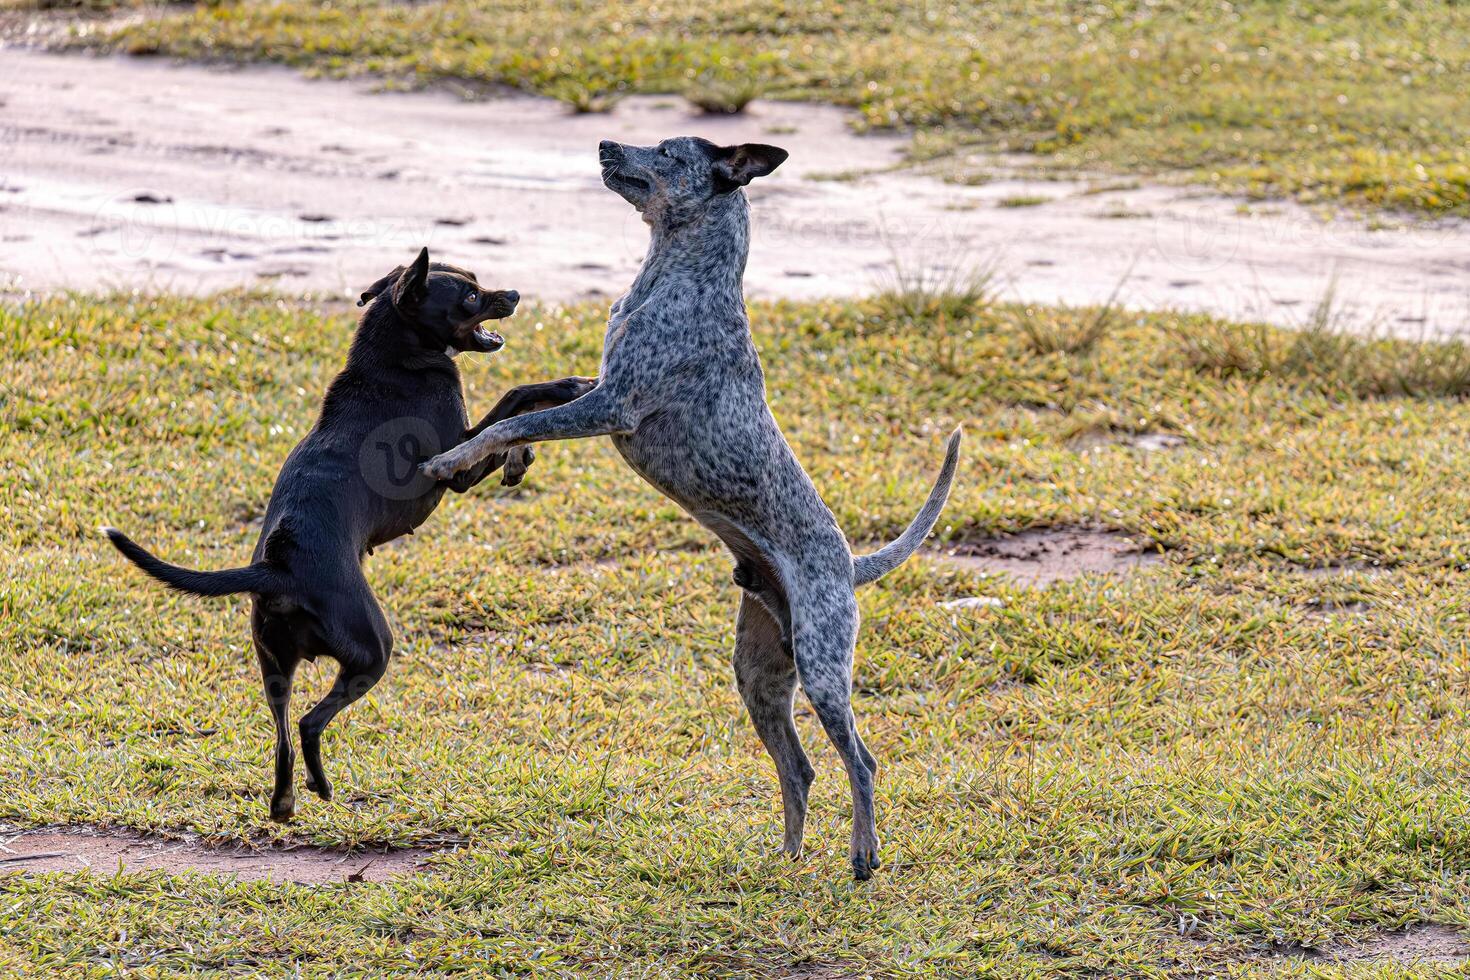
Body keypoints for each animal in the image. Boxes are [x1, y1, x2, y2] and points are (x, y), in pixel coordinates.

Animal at [103, 245, 596, 822]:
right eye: (471, 295)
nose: (515, 295)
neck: (396, 356)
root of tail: (277, 566)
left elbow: (511, 424)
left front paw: (524, 452)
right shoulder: (452, 469)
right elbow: (514, 403)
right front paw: (569, 389)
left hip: (274, 666)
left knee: (281, 735)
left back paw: (286, 801)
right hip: (372, 648)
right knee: (309, 722)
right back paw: (320, 787)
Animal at [420, 138, 958, 881]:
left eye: (669, 150)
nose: (605, 144)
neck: (672, 276)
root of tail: (852, 565)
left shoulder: (613, 405)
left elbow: (515, 419)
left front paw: (452, 459)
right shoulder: (599, 389)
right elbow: (522, 407)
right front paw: (500, 459)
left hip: (823, 669)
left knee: (863, 762)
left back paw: (862, 854)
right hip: (759, 678)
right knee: (800, 768)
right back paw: (785, 858)